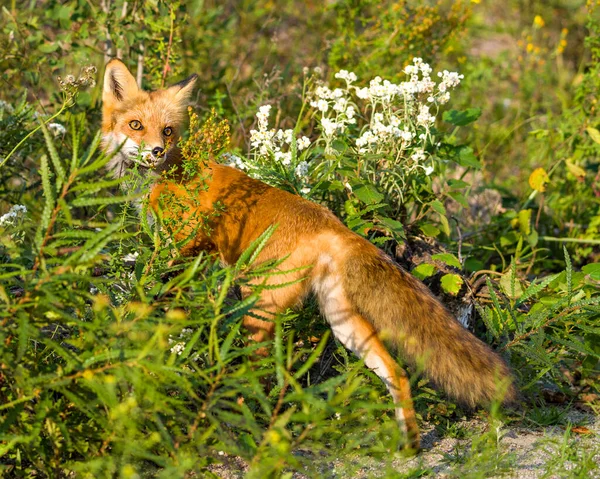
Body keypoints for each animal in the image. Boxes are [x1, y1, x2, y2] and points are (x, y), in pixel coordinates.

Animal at [101, 59, 512, 450]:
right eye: (136, 125)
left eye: (167, 131)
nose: (156, 151)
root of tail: (333, 225)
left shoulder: (184, 246)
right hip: (343, 323)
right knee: (397, 372)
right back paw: (409, 447)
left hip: (260, 307)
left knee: (261, 372)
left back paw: (234, 419)